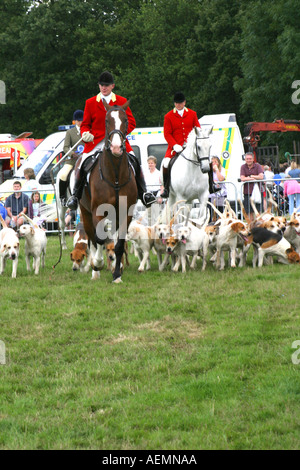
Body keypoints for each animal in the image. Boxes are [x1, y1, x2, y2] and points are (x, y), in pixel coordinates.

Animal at [78, 100, 137, 280]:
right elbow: (99, 238)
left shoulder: (126, 213)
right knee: (93, 238)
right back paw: (95, 270)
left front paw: (117, 274)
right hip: (85, 213)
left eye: (126, 120)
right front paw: (98, 263)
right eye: (106, 121)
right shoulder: (97, 211)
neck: (115, 175)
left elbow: (118, 245)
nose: (116, 148)